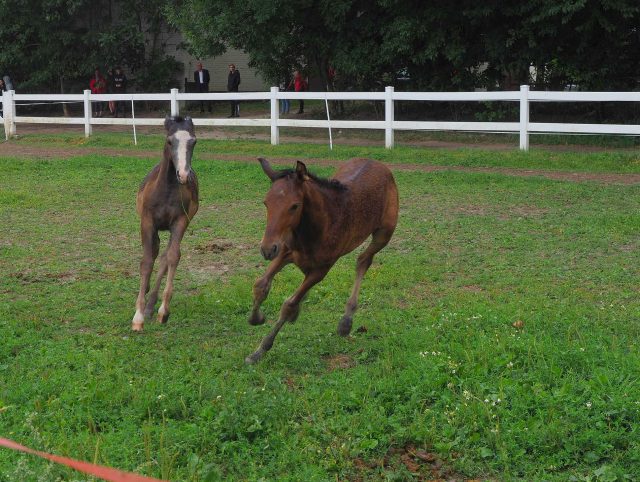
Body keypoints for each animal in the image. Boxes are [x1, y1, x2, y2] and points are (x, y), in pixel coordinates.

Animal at [131, 116, 198, 332]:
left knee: (164, 257)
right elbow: (146, 262)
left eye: (193, 141)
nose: (183, 175)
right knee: (154, 253)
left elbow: (173, 257)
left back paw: (151, 305)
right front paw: (137, 318)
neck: (166, 191)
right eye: (169, 141)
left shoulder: (180, 222)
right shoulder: (147, 222)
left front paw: (163, 311)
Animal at [246, 156, 400, 364]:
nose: (267, 249)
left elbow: (288, 305)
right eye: (266, 203)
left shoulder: (321, 270)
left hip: (384, 233)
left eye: (294, 206)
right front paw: (256, 318)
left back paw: (346, 321)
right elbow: (260, 285)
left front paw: (260, 350)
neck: (315, 227)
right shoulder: (285, 252)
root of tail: (377, 163)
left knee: (363, 261)